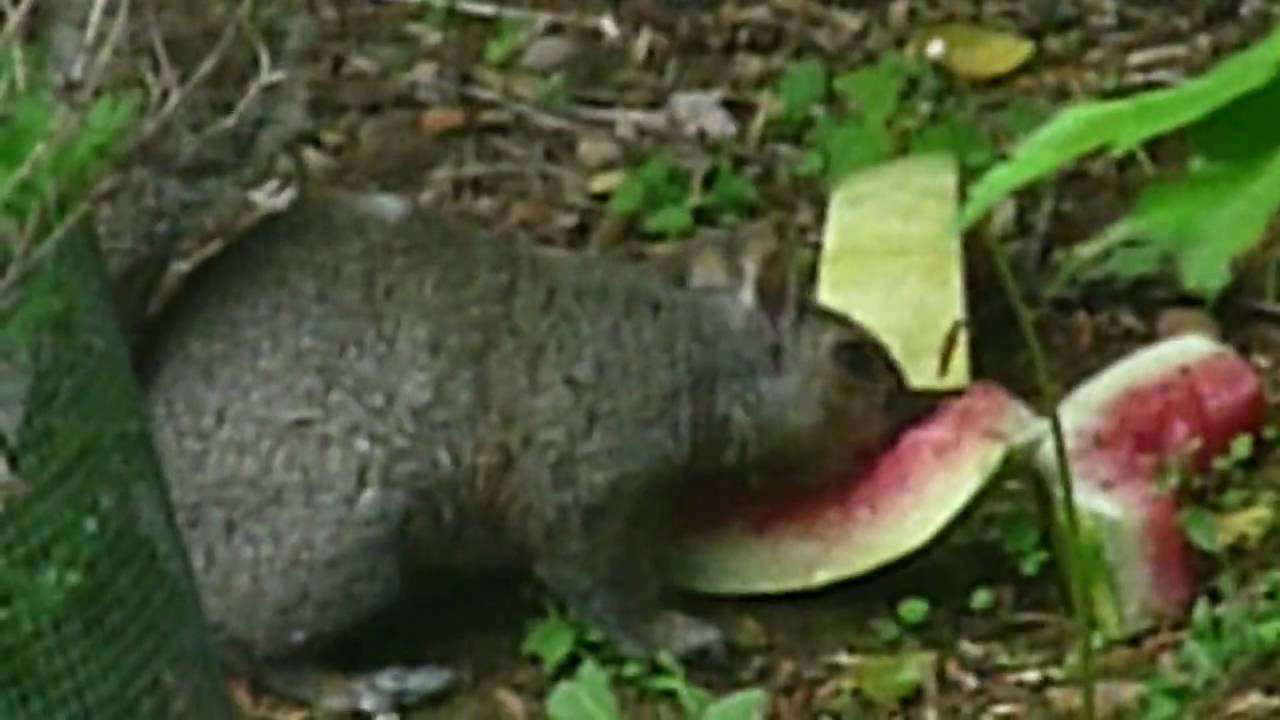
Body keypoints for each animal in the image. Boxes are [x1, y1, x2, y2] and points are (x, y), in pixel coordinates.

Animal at [139, 187, 921, 714]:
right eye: (851, 359)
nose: (912, 409)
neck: (683, 351)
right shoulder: (585, 481)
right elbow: (598, 583)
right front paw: (669, 634)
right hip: (332, 549)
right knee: (256, 649)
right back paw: (362, 684)